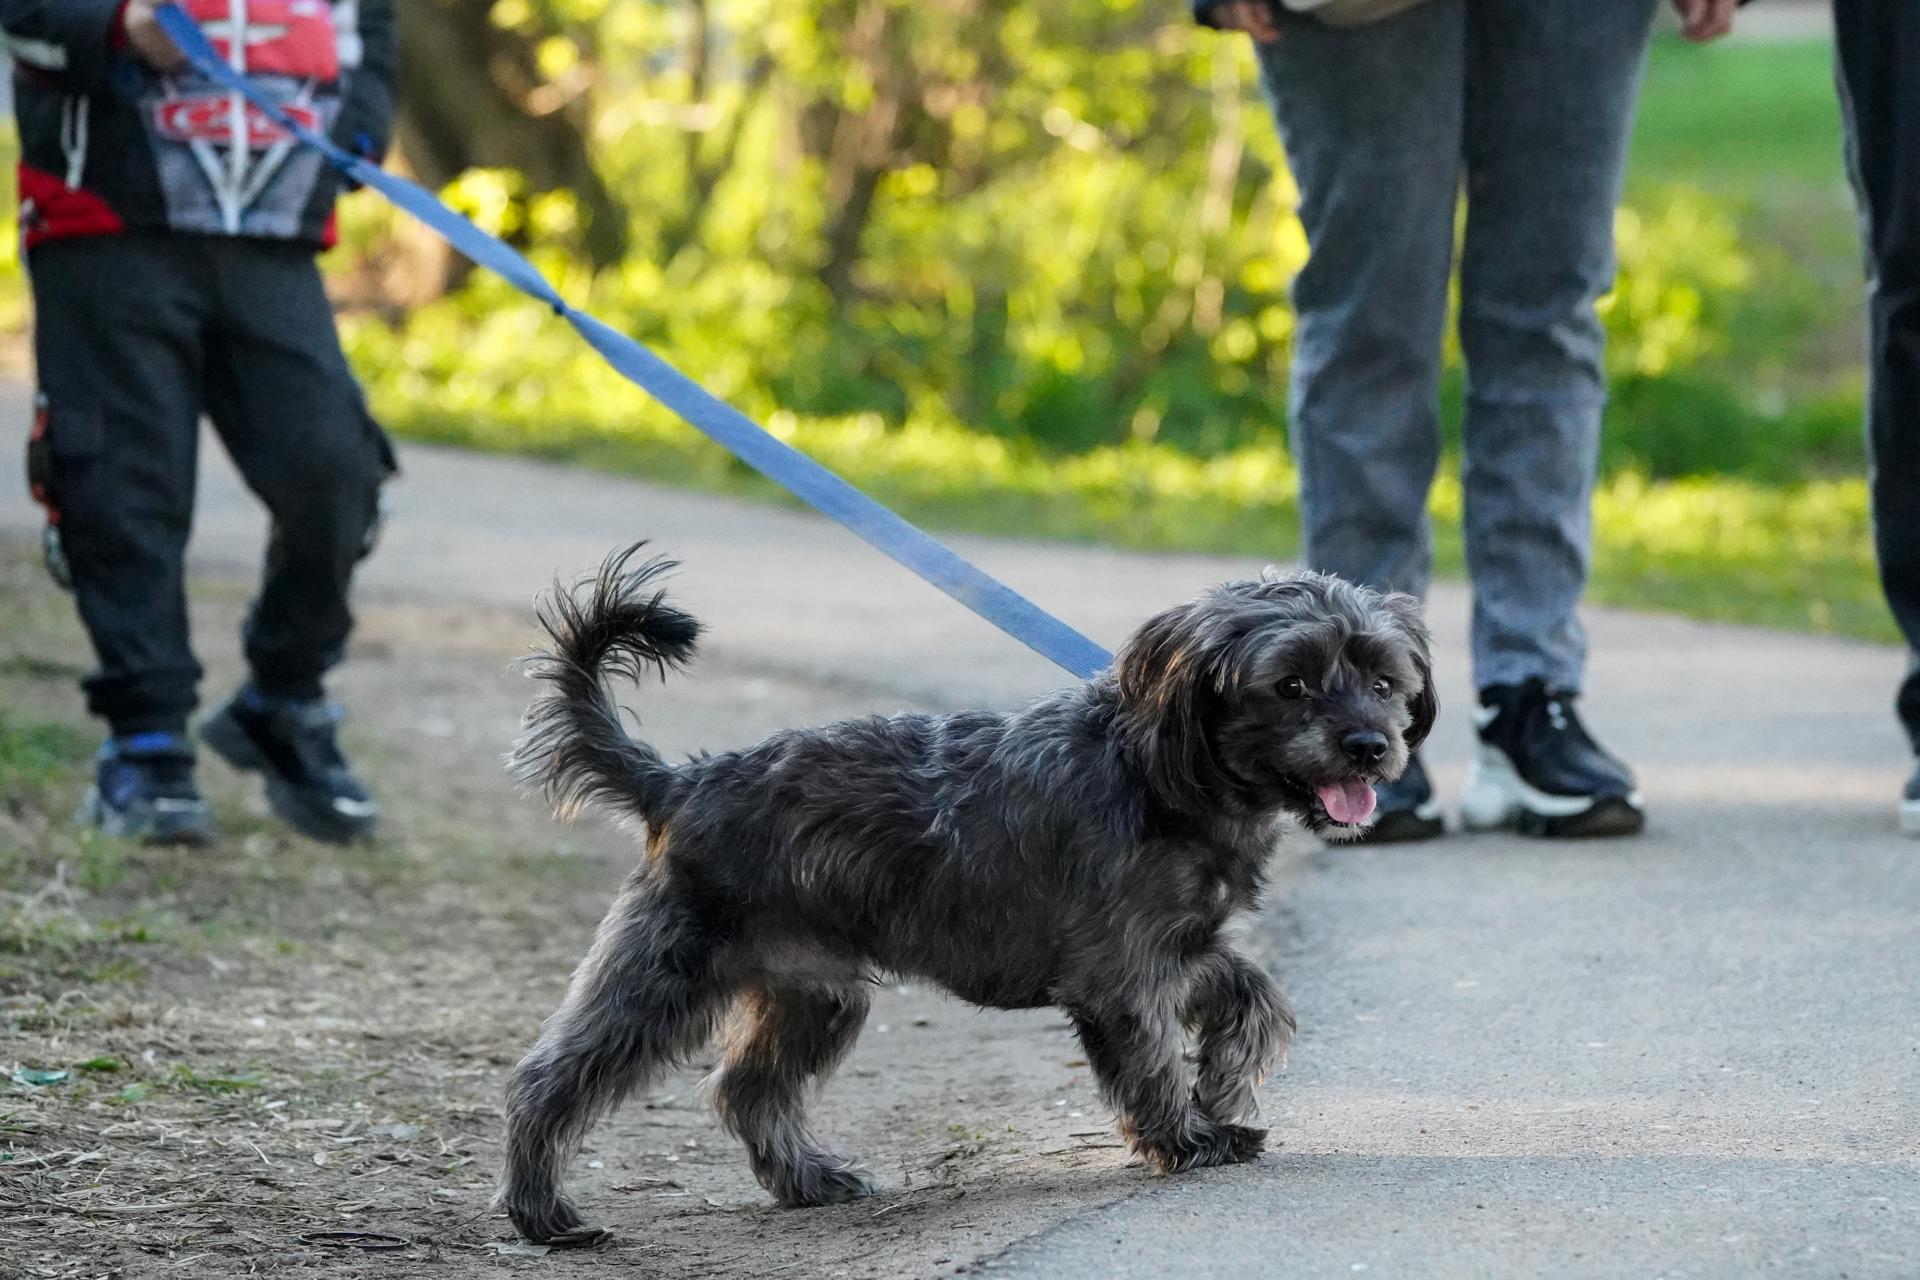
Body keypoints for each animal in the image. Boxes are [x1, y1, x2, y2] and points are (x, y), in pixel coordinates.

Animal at [495, 545, 1428, 1243]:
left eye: (1384, 680)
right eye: (1291, 684)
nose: (1370, 745)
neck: (1162, 771)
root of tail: (677, 783)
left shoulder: (1175, 948)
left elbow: (1254, 998)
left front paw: (1226, 1089)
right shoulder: (1118, 973)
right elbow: (1153, 1058)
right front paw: (1186, 1139)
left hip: (814, 994)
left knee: (748, 1089)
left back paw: (810, 1179)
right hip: (668, 975)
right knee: (547, 1079)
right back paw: (544, 1214)